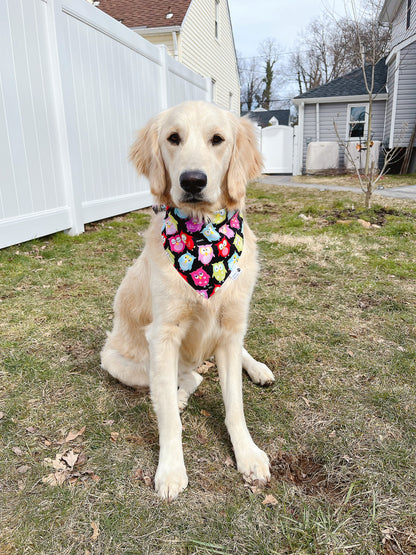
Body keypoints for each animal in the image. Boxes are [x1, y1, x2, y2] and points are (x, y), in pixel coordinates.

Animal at [101, 101, 274, 504]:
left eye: (218, 139)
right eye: (173, 138)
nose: (192, 181)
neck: (203, 235)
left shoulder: (230, 329)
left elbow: (235, 406)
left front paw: (248, 454)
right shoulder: (164, 336)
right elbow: (167, 417)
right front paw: (170, 470)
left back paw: (258, 369)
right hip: (121, 363)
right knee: (188, 378)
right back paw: (180, 397)